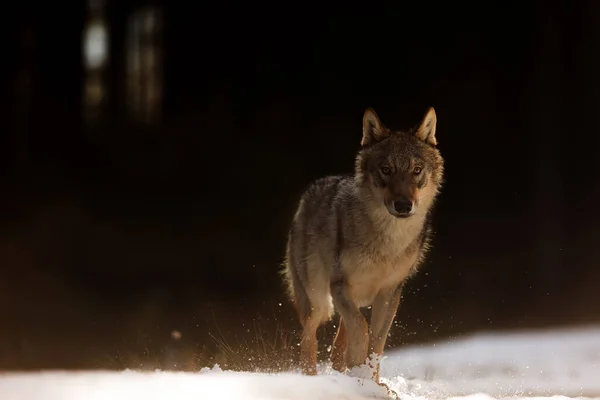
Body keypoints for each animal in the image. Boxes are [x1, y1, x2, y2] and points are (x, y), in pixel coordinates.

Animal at [282, 106, 446, 382]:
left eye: (416, 170)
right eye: (386, 169)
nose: (403, 205)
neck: (387, 242)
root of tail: (308, 194)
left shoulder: (389, 293)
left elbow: (377, 342)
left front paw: (369, 382)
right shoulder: (339, 285)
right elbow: (362, 328)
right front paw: (357, 363)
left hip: (351, 298)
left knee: (337, 342)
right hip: (318, 300)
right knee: (309, 339)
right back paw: (311, 378)